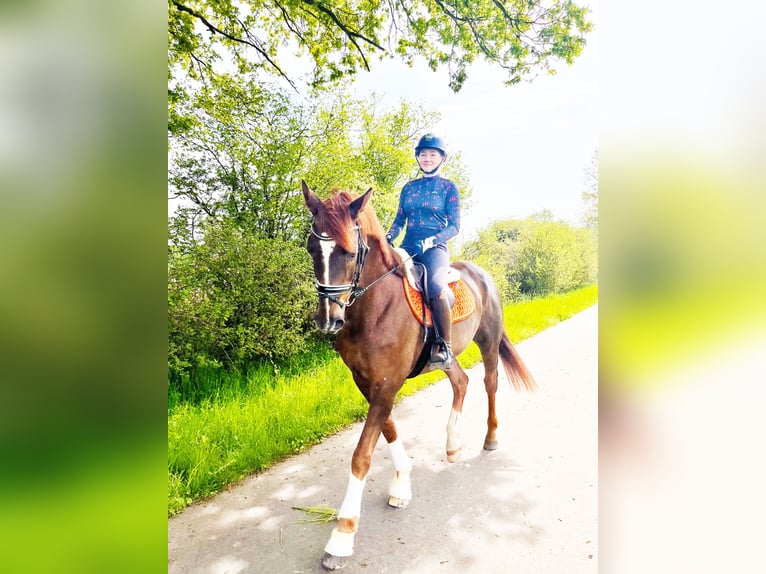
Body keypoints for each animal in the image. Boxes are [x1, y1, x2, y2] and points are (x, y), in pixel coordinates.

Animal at [304, 181, 536, 572]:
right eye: (311, 249)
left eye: (350, 253)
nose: (328, 320)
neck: (376, 306)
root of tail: (481, 273)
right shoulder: (366, 382)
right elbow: (389, 430)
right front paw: (402, 485)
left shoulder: (387, 383)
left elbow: (362, 454)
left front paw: (342, 536)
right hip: (447, 356)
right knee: (462, 383)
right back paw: (453, 445)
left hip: (488, 342)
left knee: (489, 383)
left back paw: (490, 438)